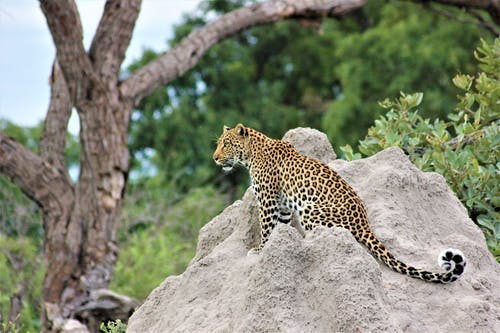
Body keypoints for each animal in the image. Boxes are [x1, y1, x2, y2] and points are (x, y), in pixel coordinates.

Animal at [213, 123, 466, 282]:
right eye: (219, 143)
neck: (251, 154)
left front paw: (259, 249)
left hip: (310, 211)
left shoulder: (268, 200)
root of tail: (363, 222)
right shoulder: (282, 205)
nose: (214, 158)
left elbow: (266, 228)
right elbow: (279, 228)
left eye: (226, 143)